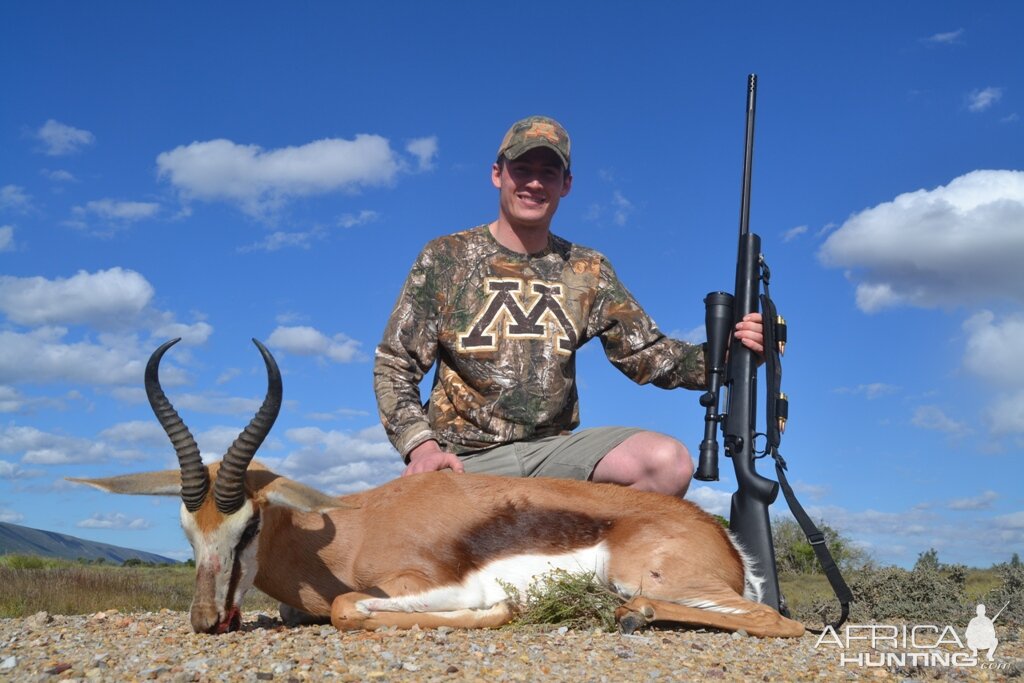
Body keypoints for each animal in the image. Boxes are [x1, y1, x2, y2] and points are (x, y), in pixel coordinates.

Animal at [74, 339, 806, 638]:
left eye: (249, 524)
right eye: (186, 527)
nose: (205, 620)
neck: (351, 528)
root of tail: (724, 539)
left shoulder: (419, 583)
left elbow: (347, 609)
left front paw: (500, 612)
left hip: (656, 578)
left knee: (778, 620)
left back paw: (630, 615)